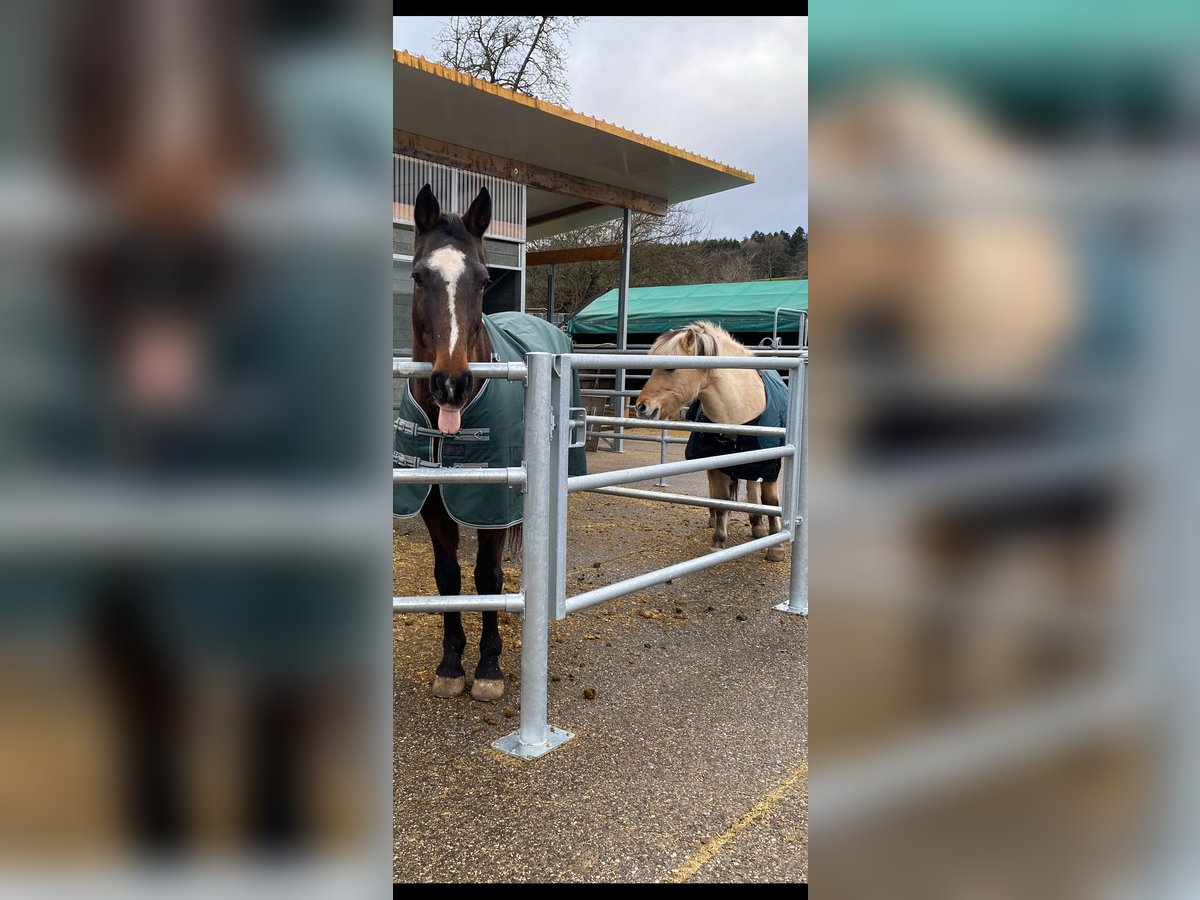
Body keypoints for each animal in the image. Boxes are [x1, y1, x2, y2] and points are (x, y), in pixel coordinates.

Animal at [633, 324, 792, 564]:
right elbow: (722, 500)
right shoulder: (717, 463)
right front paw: (718, 541)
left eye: (671, 368)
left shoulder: (769, 464)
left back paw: (758, 525)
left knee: (753, 488)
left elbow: (771, 501)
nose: (641, 407)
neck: (740, 410)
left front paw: (776, 547)